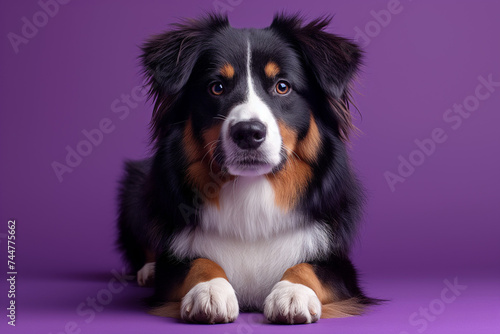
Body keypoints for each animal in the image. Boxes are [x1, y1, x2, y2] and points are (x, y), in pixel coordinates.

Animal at [117, 13, 376, 324]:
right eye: (216, 87)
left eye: (282, 86)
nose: (248, 133)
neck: (251, 190)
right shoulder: (176, 263)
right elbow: (198, 262)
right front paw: (209, 290)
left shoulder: (339, 264)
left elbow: (309, 267)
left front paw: (293, 293)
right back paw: (148, 270)